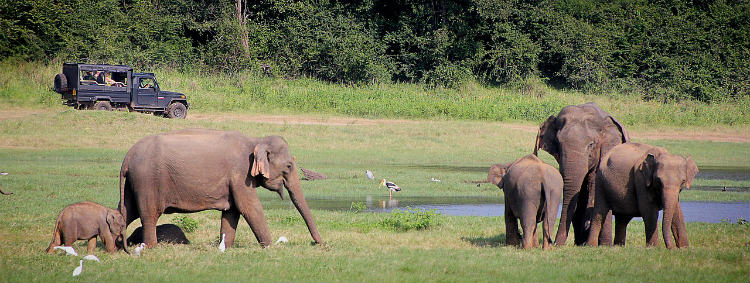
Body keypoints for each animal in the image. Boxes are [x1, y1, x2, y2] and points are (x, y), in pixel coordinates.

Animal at [119, 130, 324, 250]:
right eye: (289, 166)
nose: (318, 243)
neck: (256, 140)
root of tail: (127, 157)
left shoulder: (234, 181)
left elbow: (232, 212)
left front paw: (226, 247)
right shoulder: (240, 174)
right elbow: (249, 207)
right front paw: (270, 247)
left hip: (134, 183)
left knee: (126, 211)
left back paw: (117, 246)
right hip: (147, 181)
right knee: (149, 214)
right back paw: (151, 247)